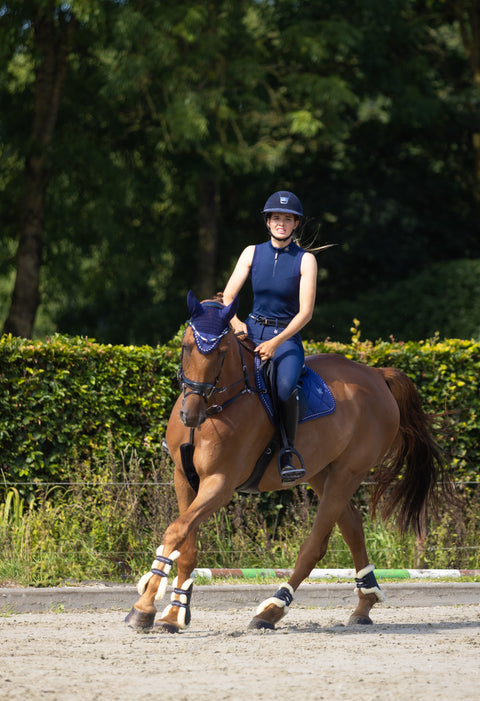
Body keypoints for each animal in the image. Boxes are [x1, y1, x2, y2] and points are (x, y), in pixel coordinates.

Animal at [125, 292, 452, 632]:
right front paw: (174, 612)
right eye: (187, 345)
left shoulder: (220, 483)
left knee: (315, 545)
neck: (216, 406)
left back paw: (272, 609)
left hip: (348, 473)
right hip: (321, 472)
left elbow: (176, 531)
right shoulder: (183, 477)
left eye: (222, 352)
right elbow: (186, 543)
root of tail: (375, 374)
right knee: (352, 525)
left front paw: (144, 607)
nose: (191, 414)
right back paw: (365, 604)